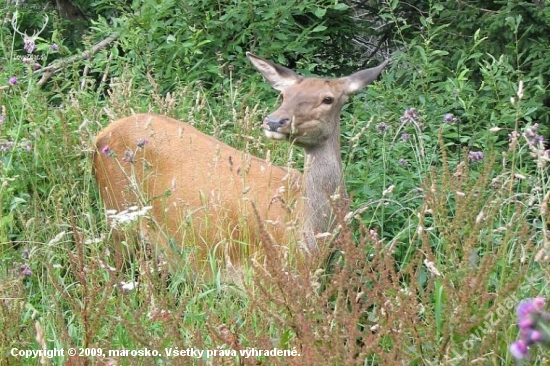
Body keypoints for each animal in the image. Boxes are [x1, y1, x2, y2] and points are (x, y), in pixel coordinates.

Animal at [94, 52, 388, 274]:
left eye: (328, 99)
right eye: (284, 95)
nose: (274, 121)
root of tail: (100, 136)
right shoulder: (256, 274)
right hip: (117, 215)